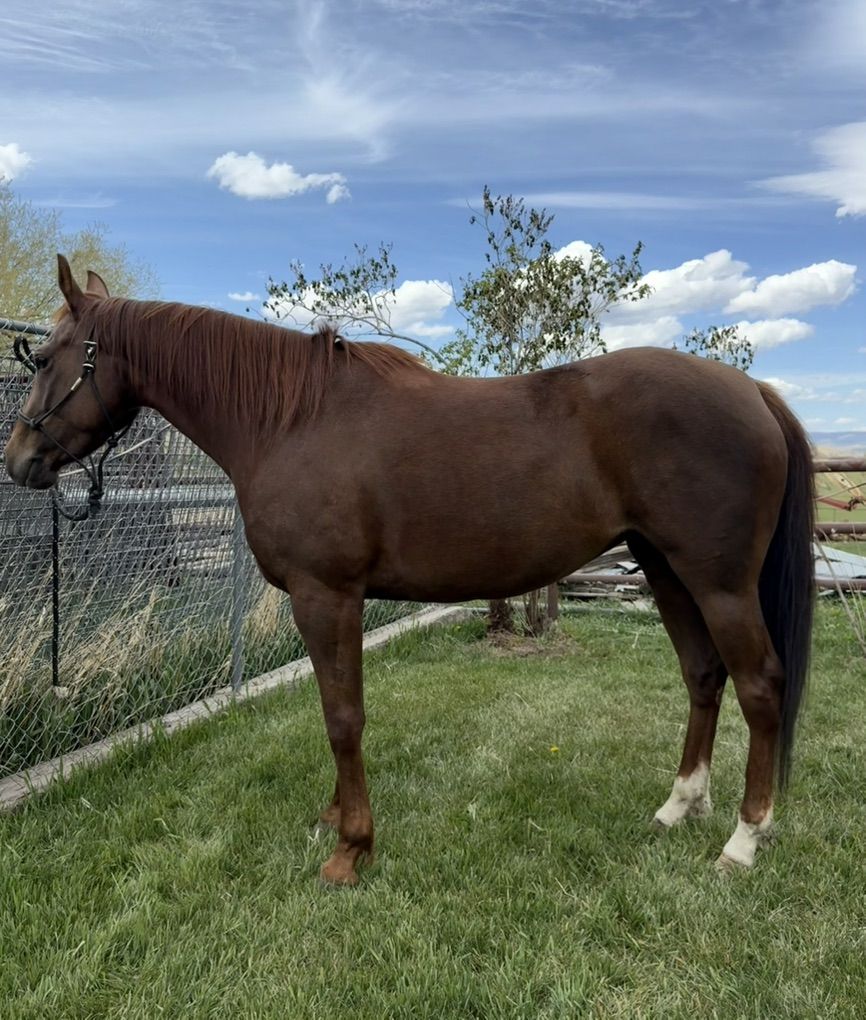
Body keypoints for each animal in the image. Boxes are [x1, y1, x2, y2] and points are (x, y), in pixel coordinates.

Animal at [4, 256, 814, 885]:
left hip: (718, 583)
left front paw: (350, 849)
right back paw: (679, 806)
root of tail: (754, 392)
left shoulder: (325, 595)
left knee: (760, 686)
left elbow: (343, 718)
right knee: (703, 676)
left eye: (43, 361)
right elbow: (338, 711)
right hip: (666, 570)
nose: (19, 460)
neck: (292, 421)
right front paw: (336, 817)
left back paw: (744, 840)